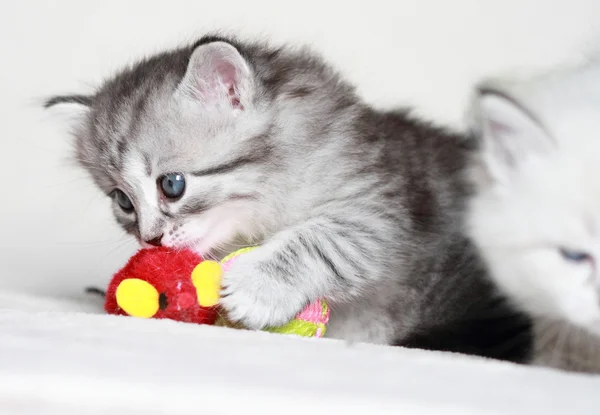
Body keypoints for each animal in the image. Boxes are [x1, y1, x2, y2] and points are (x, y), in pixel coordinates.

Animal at [49, 35, 532, 360]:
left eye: (171, 184)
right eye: (122, 201)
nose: (149, 239)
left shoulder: (380, 213)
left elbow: (321, 242)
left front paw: (257, 289)